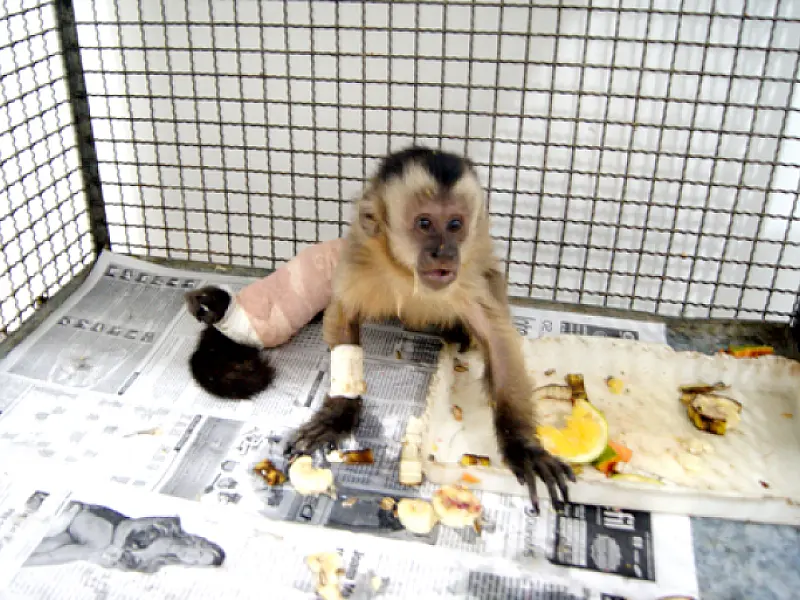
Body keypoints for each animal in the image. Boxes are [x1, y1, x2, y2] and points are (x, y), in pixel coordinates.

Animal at [285, 146, 576, 512]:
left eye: (454, 224)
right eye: (424, 224)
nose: (444, 252)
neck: (405, 272)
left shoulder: (466, 278)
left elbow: (498, 339)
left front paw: (522, 446)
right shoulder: (359, 258)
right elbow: (343, 316)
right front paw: (338, 415)